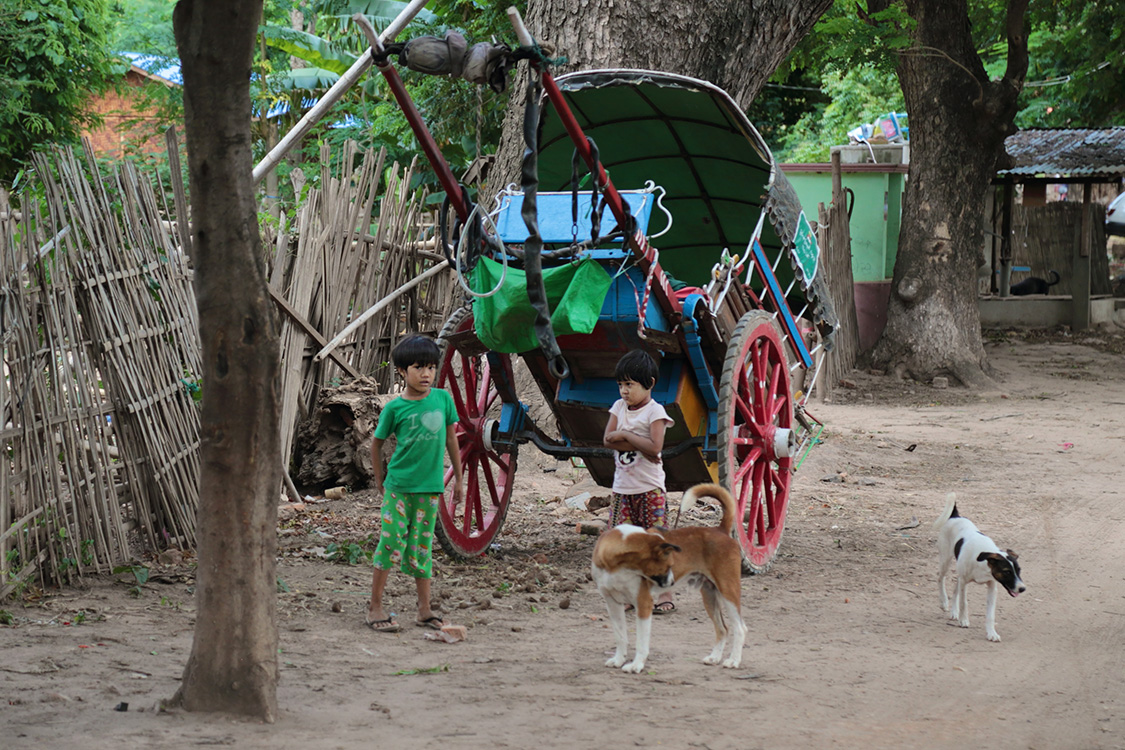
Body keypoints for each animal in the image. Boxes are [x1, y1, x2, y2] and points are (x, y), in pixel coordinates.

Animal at [589, 488, 747, 674]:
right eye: (668, 565)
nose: (671, 583)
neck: (617, 567)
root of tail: (720, 530)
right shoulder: (613, 604)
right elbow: (621, 636)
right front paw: (619, 660)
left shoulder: (643, 604)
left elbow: (641, 642)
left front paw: (636, 665)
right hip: (710, 595)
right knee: (722, 628)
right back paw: (715, 657)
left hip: (728, 592)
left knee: (740, 628)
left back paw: (734, 660)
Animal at [936, 494, 1026, 643]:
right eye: (1007, 572)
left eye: (1019, 571)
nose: (1022, 588)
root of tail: (955, 516)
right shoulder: (965, 582)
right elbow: (964, 603)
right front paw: (964, 620)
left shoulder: (992, 587)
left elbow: (990, 615)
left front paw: (991, 633)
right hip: (945, 560)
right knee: (940, 578)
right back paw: (944, 602)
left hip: (959, 574)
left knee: (955, 588)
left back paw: (954, 611)